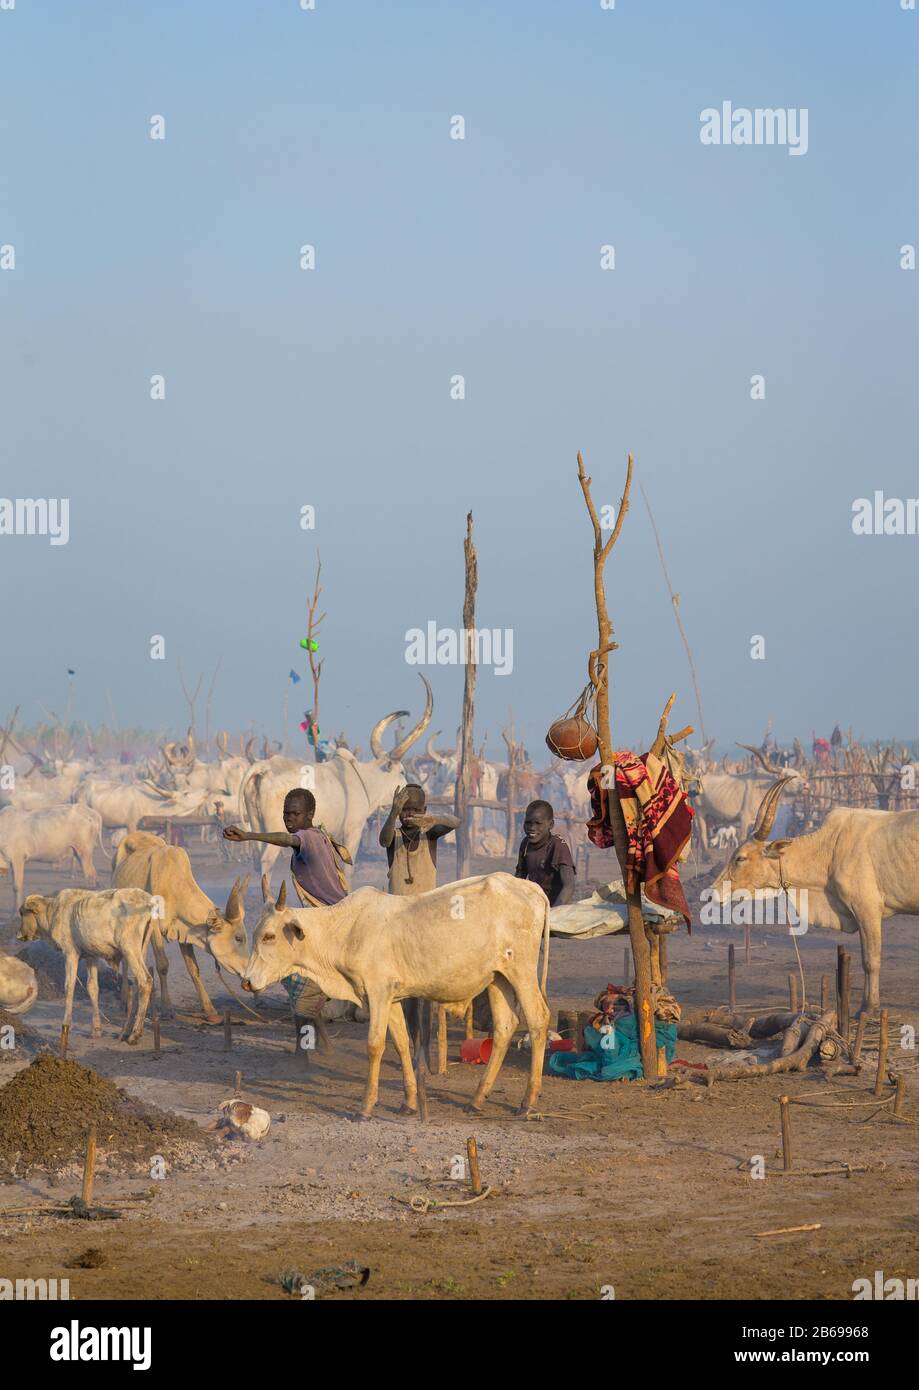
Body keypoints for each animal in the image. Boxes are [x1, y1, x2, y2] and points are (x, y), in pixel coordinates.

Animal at [17, 887, 159, 1043]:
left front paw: (66, 1024)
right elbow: (92, 987)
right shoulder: (91, 956)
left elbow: (69, 986)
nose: (19, 935)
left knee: (145, 981)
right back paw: (126, 1031)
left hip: (130, 949)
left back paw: (135, 1034)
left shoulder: (70, 952)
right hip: (141, 949)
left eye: (22, 913)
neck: (53, 910)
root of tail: (147, 900)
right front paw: (96, 1029)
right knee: (138, 985)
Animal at [112, 831, 250, 1022]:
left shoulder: (183, 931)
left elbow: (193, 969)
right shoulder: (155, 927)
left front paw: (210, 1010)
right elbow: (163, 965)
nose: (248, 975)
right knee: (126, 959)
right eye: (238, 938)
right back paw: (125, 1000)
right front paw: (167, 1008)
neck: (173, 885)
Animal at [237, 675, 433, 878]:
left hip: (257, 826)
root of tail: (263, 767)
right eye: (402, 771)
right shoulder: (352, 831)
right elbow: (348, 869)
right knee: (266, 861)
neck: (363, 780)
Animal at [241, 872, 551, 1120]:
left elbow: (375, 1045)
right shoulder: (391, 997)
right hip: (498, 978)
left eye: (269, 936)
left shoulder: (378, 991)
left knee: (538, 1020)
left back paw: (527, 1102)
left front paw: (365, 1107)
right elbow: (401, 1044)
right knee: (505, 1027)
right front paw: (409, 1102)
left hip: (522, 971)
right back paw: (477, 1099)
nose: (246, 981)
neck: (344, 930)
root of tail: (531, 887)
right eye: (255, 934)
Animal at [710, 775, 919, 1016]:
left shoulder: (867, 910)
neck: (830, 848)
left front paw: (868, 1008)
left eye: (740, 858)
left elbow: (870, 961)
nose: (713, 892)